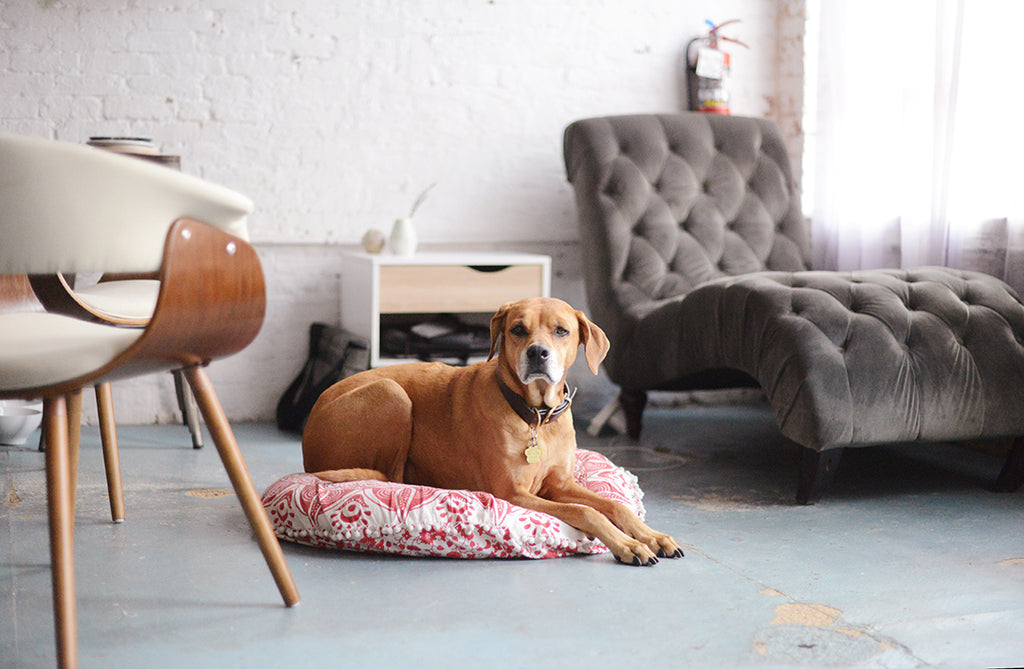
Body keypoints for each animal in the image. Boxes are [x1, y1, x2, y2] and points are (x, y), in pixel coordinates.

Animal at [299, 297, 684, 565]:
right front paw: (628, 545)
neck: (536, 416)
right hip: (393, 393)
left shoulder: (561, 484)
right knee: (392, 478)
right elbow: (586, 512)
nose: (538, 353)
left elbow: (615, 506)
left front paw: (653, 537)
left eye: (561, 330)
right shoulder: (514, 493)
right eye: (518, 329)